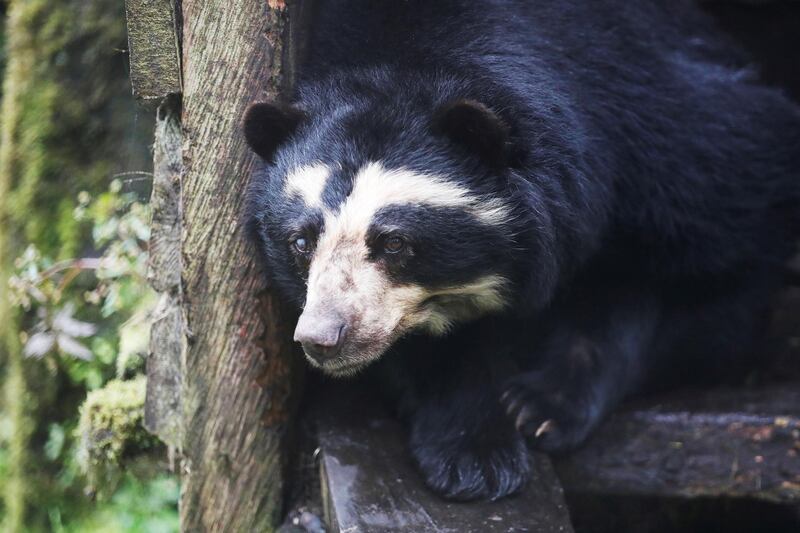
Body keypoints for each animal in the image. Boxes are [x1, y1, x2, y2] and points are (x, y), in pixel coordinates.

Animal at [242, 0, 800, 498]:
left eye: (394, 242)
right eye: (301, 241)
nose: (321, 338)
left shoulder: (669, 136)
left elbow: (704, 270)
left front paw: (542, 408)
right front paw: (475, 457)